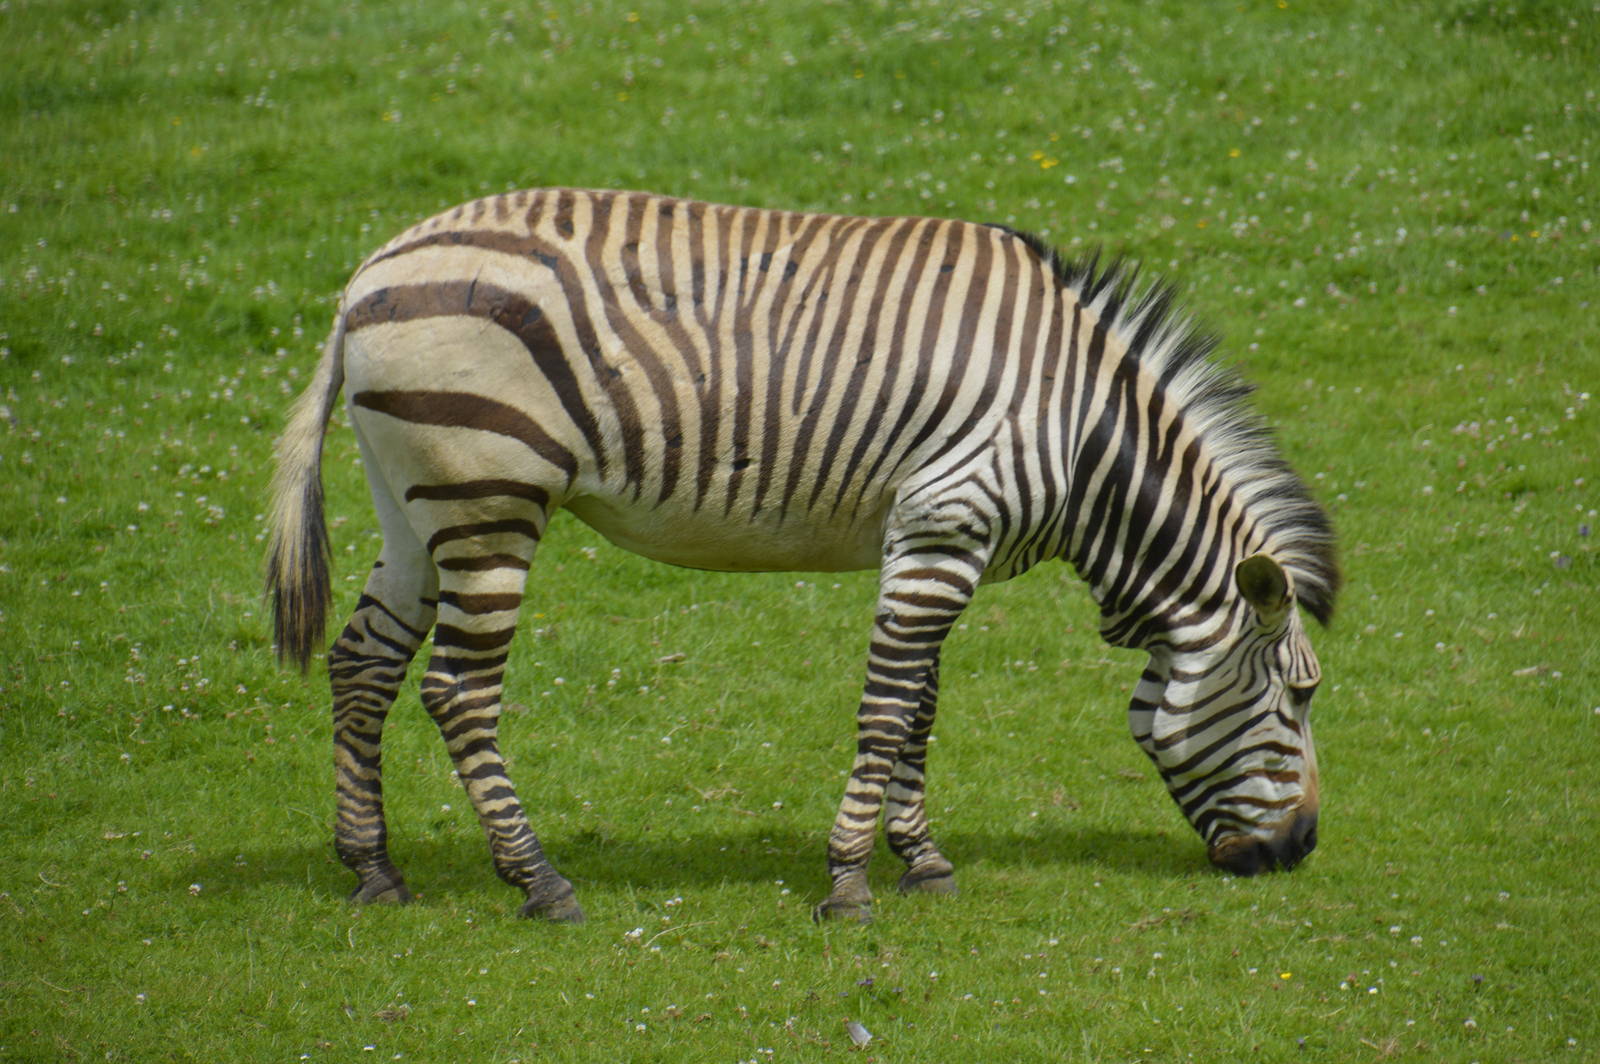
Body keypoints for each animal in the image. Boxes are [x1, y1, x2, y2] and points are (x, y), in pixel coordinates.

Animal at [267, 188, 1339, 924]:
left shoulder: (932, 538)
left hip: (413, 503)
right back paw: (541, 882)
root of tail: (365, 279)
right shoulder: (946, 527)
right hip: (489, 498)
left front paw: (921, 861)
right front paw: (851, 883)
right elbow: (889, 711)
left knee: (364, 662)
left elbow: (920, 709)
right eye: (1300, 697)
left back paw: (374, 869)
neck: (1081, 432)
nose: (1299, 851)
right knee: (457, 690)